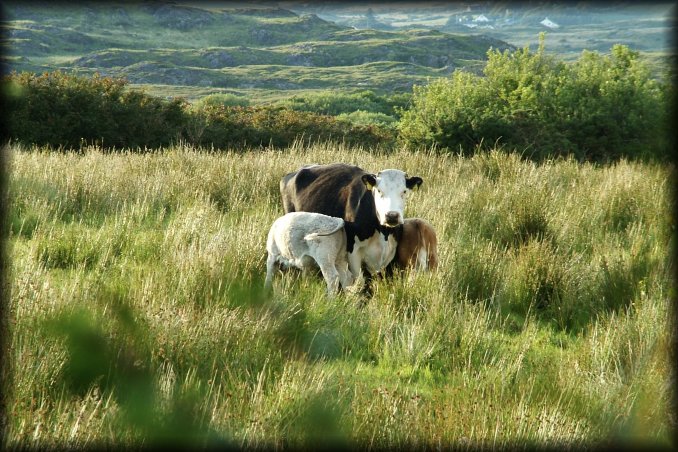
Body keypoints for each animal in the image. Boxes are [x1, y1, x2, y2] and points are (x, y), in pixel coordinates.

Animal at [278, 162, 422, 294]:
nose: (391, 216)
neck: (383, 232)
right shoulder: (353, 249)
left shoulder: (389, 252)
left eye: (404, 191)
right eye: (379, 191)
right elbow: (359, 283)